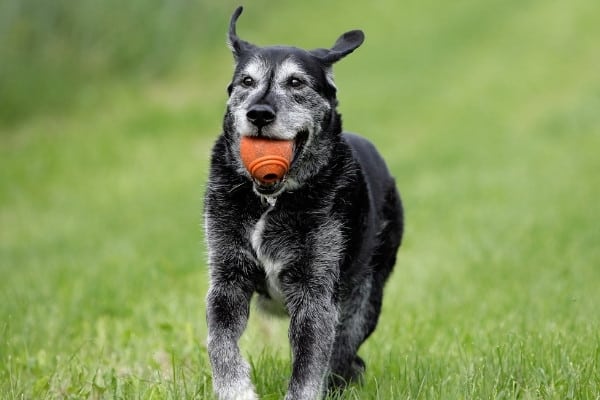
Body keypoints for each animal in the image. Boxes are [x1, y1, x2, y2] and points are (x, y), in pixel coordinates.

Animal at [204, 7, 406, 400]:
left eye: (296, 82)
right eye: (246, 81)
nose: (259, 114)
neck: (270, 199)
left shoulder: (315, 292)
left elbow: (310, 366)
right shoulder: (227, 277)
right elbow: (220, 343)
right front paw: (237, 390)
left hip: (366, 296)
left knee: (345, 352)